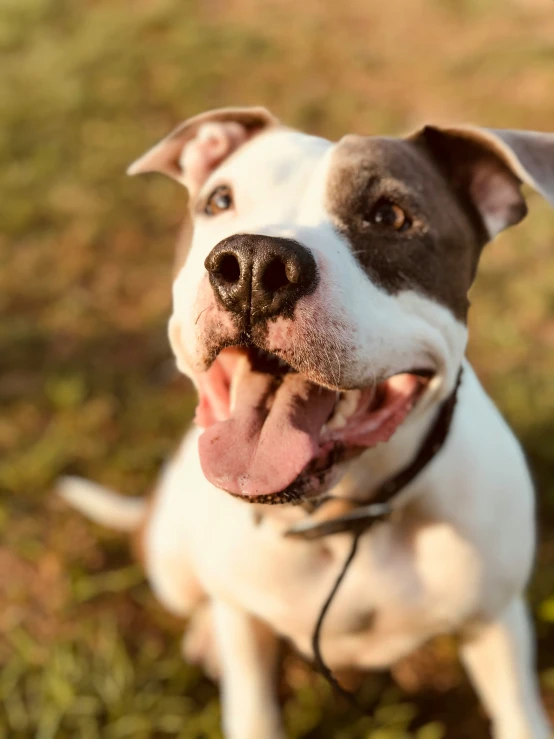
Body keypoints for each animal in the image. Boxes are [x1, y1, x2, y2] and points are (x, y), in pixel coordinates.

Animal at [60, 108, 552, 739]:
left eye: (390, 216)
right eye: (220, 200)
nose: (252, 263)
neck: (342, 519)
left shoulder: (497, 625)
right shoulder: (247, 633)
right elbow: (250, 701)